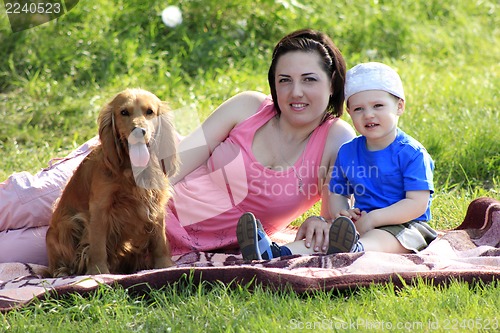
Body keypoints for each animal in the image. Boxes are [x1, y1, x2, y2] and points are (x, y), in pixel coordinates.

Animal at [45, 87, 178, 274]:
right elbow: (98, 246)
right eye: (124, 112)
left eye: (149, 112)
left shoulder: (156, 204)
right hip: (68, 224)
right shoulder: (100, 208)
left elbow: (160, 239)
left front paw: (164, 266)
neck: (132, 170)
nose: (139, 131)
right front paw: (98, 272)